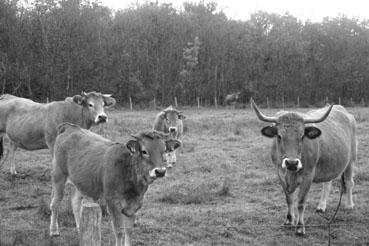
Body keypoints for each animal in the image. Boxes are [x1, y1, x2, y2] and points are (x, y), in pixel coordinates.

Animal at [49, 123, 180, 246]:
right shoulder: (113, 203)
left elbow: (128, 230)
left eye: (164, 151)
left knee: (75, 202)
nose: (160, 171)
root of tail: (70, 127)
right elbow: (119, 231)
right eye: (144, 151)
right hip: (58, 174)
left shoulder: (134, 205)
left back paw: (80, 228)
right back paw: (54, 231)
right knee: (55, 202)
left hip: (80, 181)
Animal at [250, 99, 356, 235]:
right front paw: (289, 221)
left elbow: (300, 202)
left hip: (351, 159)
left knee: (348, 182)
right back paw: (321, 206)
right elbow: (289, 199)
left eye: (302, 136)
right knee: (327, 184)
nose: (291, 163)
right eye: (279, 136)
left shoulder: (308, 176)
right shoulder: (280, 173)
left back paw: (349, 205)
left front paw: (300, 227)